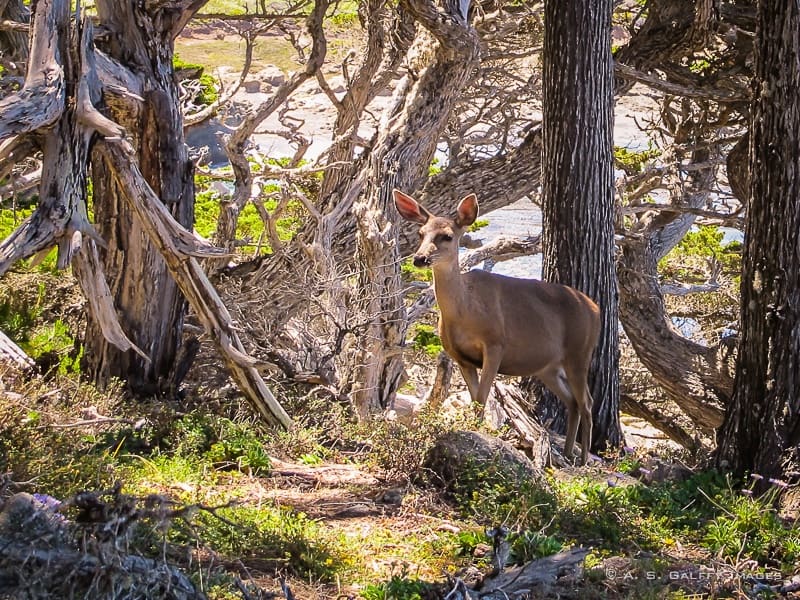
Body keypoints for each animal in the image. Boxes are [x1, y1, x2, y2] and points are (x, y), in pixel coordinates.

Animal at [394, 190, 600, 466]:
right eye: (420, 233)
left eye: (447, 236)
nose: (419, 258)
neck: (465, 311)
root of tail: (596, 309)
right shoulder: (460, 356)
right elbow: (475, 399)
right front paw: (472, 433)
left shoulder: (495, 344)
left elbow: (482, 398)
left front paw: (477, 439)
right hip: (548, 366)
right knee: (573, 401)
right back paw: (567, 453)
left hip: (580, 351)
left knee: (586, 401)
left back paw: (584, 459)